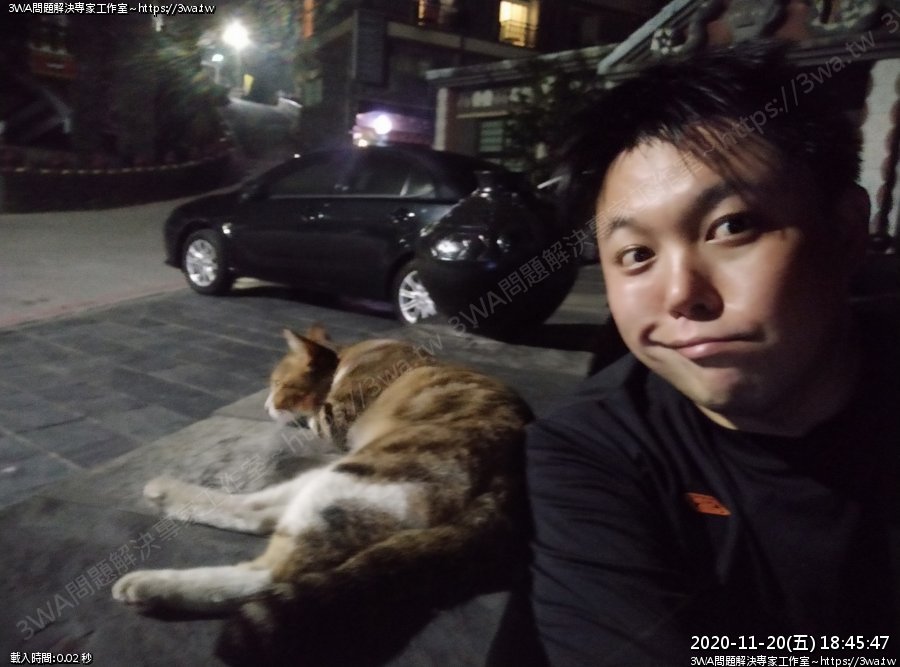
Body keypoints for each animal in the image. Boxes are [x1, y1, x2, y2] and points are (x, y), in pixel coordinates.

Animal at [112, 324, 533, 659]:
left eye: (279, 385)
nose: (266, 405)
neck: (351, 354)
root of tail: (510, 487)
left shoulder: (335, 419)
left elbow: (315, 417)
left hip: (358, 475)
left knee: (268, 572)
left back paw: (149, 584)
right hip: (335, 478)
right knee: (259, 513)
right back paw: (166, 494)